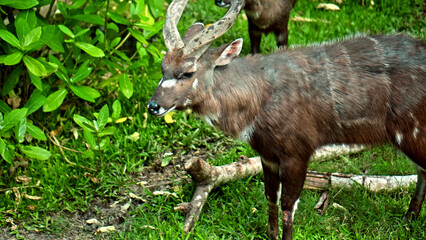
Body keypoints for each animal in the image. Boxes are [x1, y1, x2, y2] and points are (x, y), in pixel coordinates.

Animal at [147, 0, 426, 238]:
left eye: (188, 72)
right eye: (162, 67)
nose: (153, 106)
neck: (258, 96)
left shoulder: (297, 153)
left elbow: (288, 206)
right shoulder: (268, 155)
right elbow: (270, 197)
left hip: (411, 133)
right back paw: (408, 220)